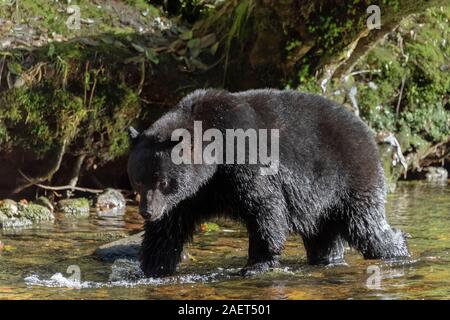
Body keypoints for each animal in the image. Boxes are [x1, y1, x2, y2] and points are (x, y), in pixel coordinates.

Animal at [127, 88, 412, 278]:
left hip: (349, 180)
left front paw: (256, 264)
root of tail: (367, 132)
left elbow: (265, 207)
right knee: (324, 236)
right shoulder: (191, 196)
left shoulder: (243, 160)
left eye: (163, 181)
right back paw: (328, 259)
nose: (147, 212)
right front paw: (152, 267)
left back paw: (398, 249)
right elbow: (168, 228)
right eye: (138, 181)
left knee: (367, 227)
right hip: (320, 205)